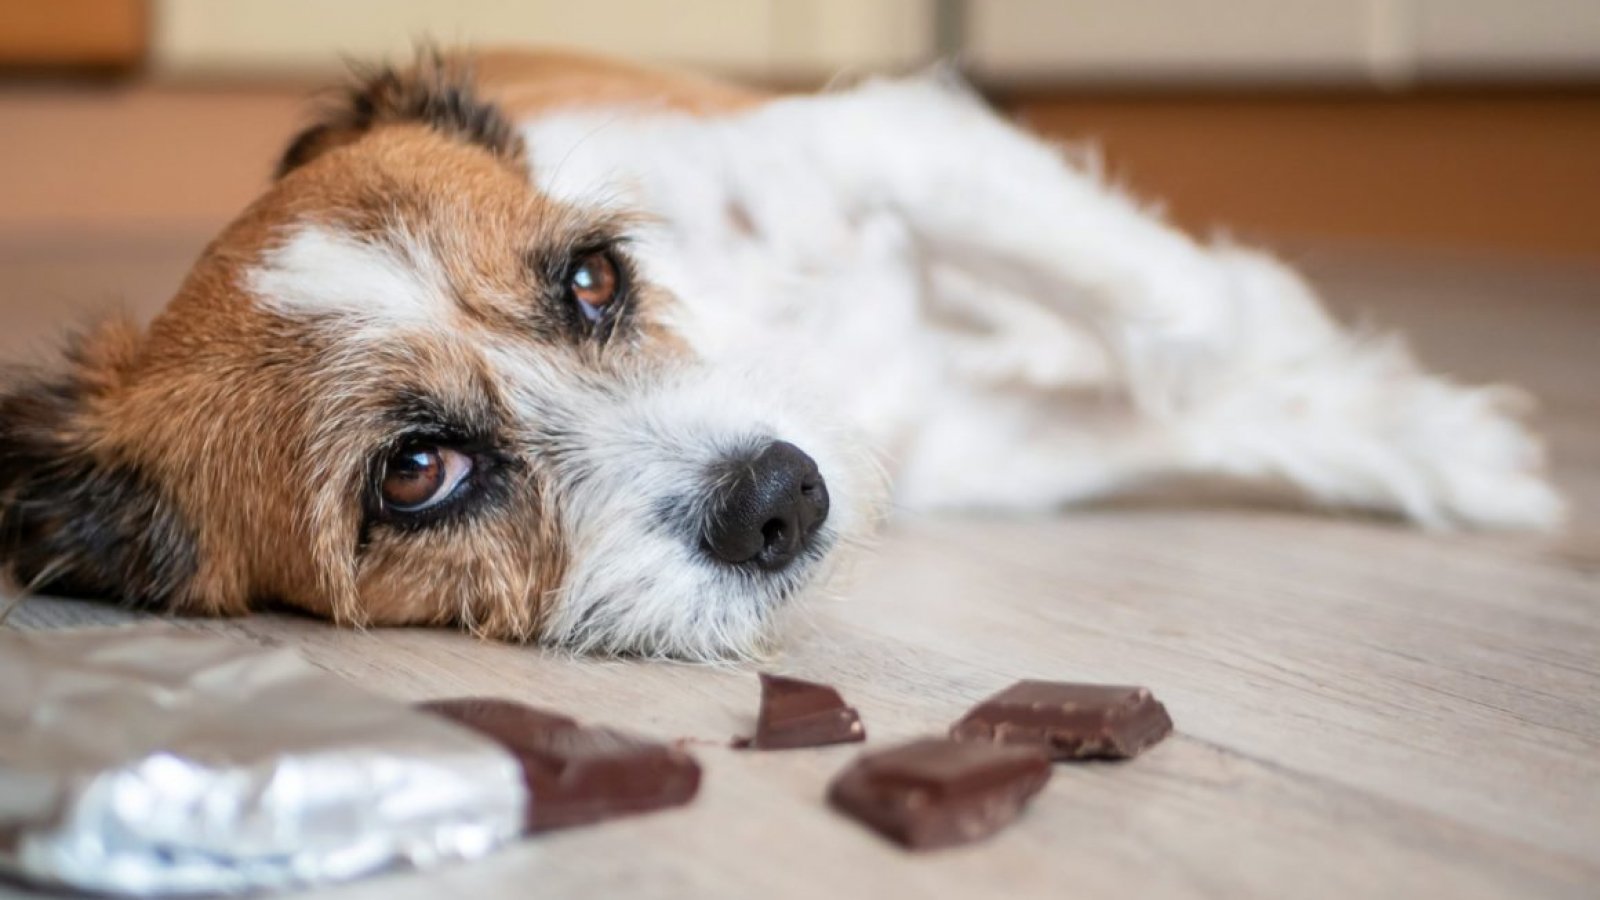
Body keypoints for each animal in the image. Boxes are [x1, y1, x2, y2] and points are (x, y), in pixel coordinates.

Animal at [0, 49, 1555, 656]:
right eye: (415, 473)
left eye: (593, 279)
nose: (780, 498)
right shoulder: (977, 448)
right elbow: (1182, 399)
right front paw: (1430, 441)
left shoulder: (888, 143)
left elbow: (1185, 322)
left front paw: (1443, 441)